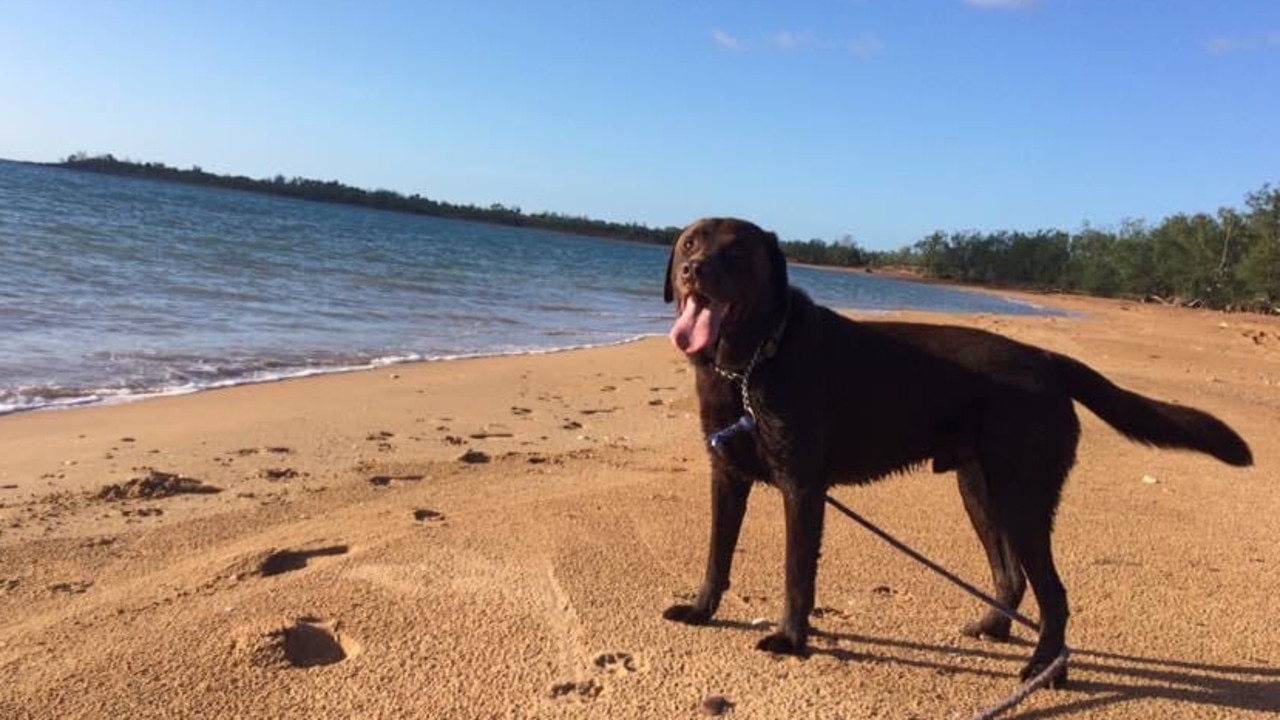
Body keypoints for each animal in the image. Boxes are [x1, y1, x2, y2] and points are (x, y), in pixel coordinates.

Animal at [660, 215, 1249, 681]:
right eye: (690, 243)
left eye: (738, 251)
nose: (693, 271)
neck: (749, 364)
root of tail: (1047, 359)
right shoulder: (726, 476)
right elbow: (716, 554)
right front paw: (702, 610)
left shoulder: (802, 489)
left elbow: (796, 572)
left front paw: (790, 639)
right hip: (980, 490)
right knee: (1011, 576)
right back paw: (995, 629)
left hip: (1022, 498)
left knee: (1053, 593)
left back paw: (1045, 668)